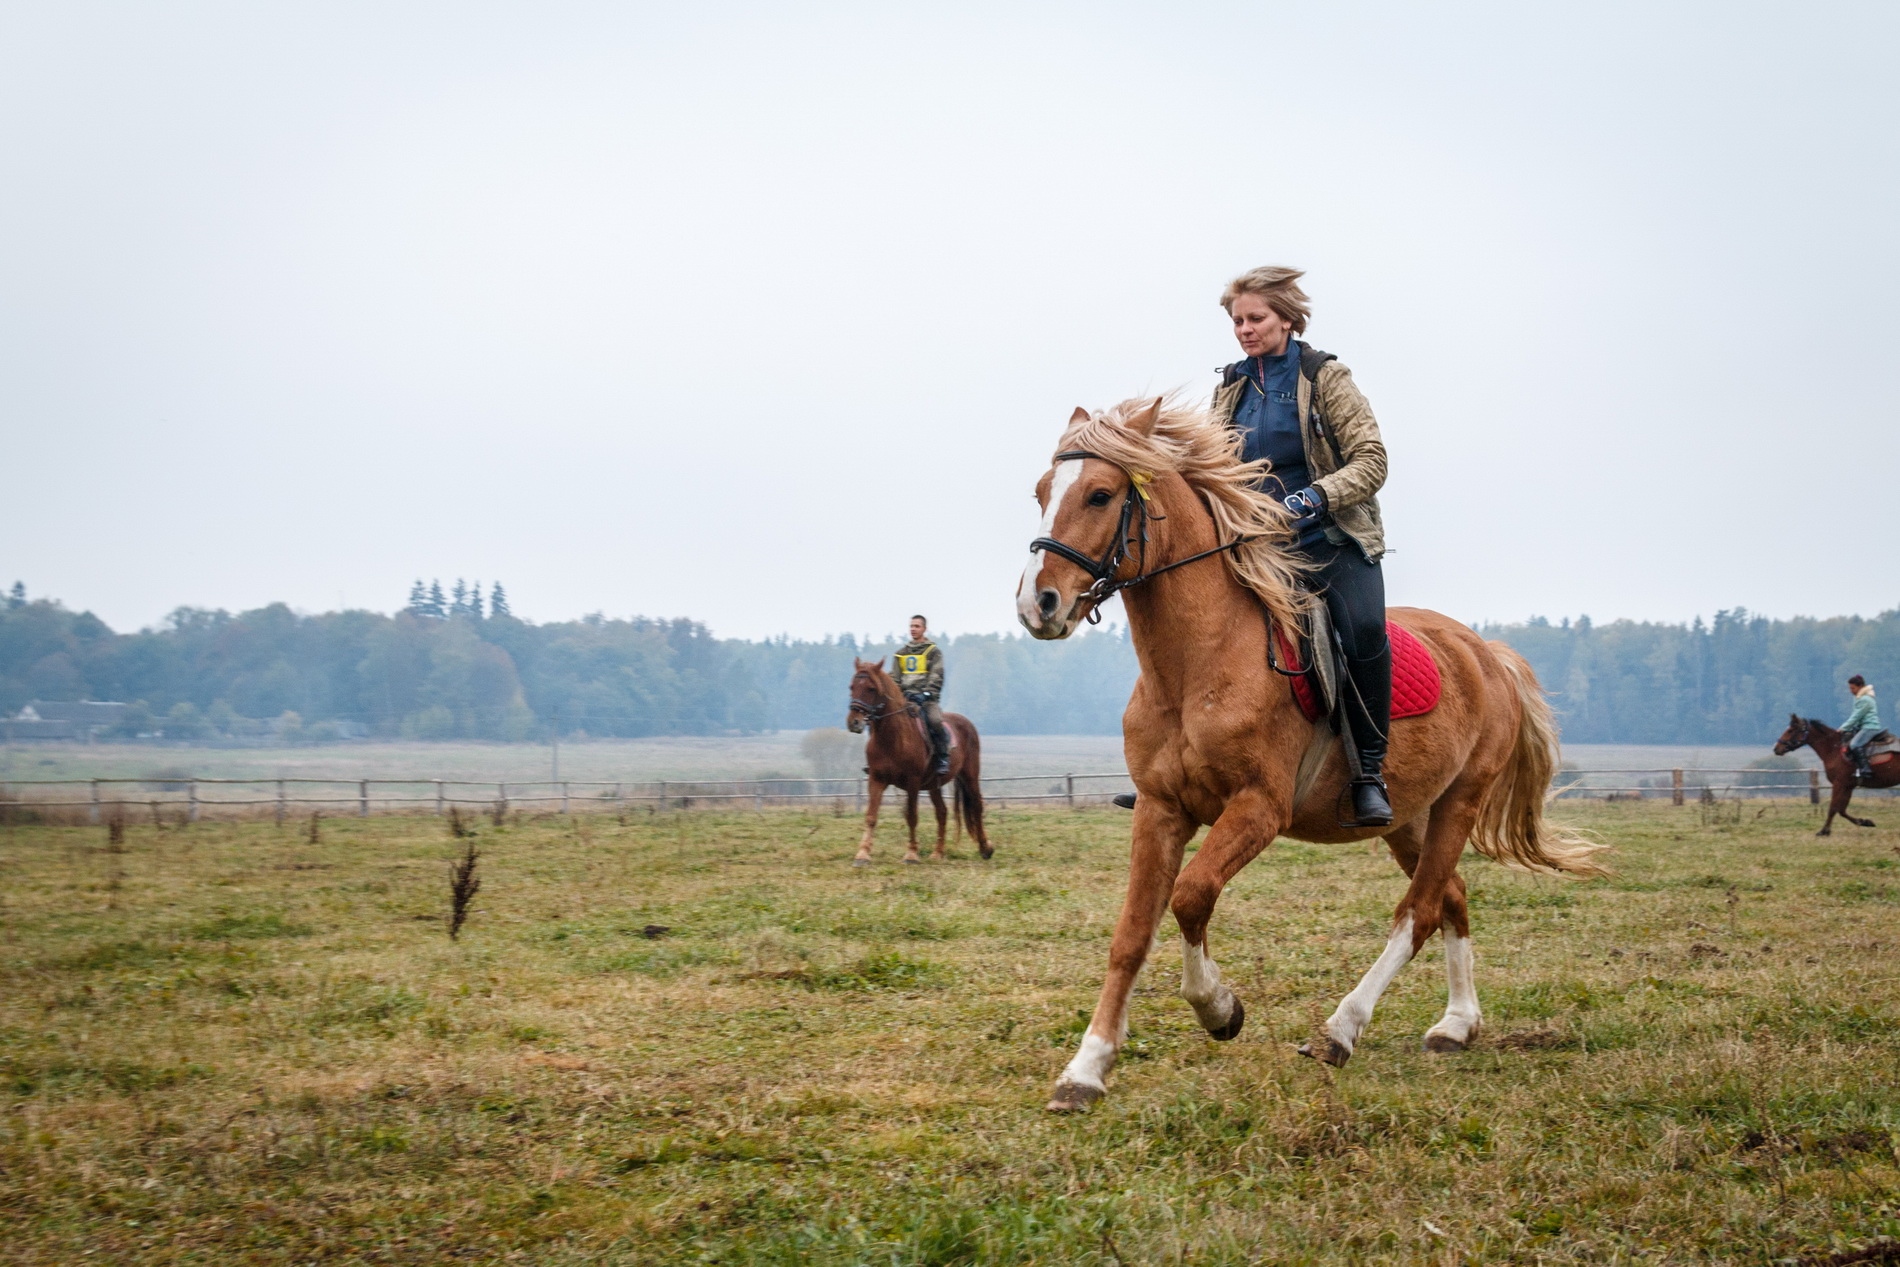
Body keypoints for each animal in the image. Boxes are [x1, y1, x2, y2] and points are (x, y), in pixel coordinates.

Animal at [847, 661, 995, 866]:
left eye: (871, 688)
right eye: (851, 687)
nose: (854, 722)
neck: (893, 738)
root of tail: (966, 723)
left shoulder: (913, 782)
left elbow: (911, 816)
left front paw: (911, 855)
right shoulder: (876, 780)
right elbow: (871, 816)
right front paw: (862, 855)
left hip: (969, 775)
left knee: (976, 805)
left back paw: (985, 848)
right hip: (934, 784)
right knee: (942, 812)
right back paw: (938, 853)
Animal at [1010, 397, 1603, 1109]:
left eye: (1100, 495)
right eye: (1042, 492)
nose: (1037, 604)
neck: (1197, 666)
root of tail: (1486, 653)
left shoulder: (1259, 809)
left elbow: (1192, 895)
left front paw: (1220, 1008)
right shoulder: (1159, 809)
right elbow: (1132, 935)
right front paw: (1086, 1069)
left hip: (1460, 801)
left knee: (1420, 911)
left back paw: (1340, 1031)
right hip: (1407, 816)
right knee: (1452, 896)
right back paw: (1456, 1026)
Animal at [1763, 718, 1900, 835]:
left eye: (1790, 730)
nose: (1776, 748)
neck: (1834, 749)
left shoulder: (1839, 784)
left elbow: (1833, 808)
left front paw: (1824, 831)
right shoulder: (1847, 786)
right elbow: (1841, 810)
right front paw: (1865, 822)